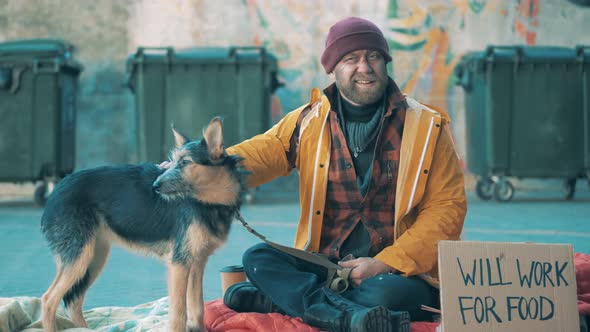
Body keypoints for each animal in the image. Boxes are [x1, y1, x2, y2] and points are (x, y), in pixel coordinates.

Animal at [40, 118, 247, 330]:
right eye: (173, 162)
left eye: (184, 162)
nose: (155, 186)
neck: (210, 202)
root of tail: (56, 190)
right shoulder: (179, 264)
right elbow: (179, 313)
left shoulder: (197, 262)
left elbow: (197, 309)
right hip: (80, 257)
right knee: (48, 300)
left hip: (94, 257)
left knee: (74, 301)